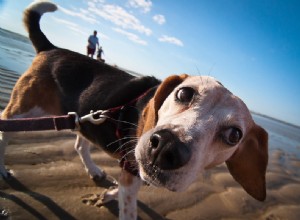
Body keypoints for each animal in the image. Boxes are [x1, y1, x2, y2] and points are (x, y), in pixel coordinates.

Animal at [0, 1, 268, 220]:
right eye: (184, 93)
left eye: (234, 135)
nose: (166, 147)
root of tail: (50, 48)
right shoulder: (131, 172)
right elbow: (128, 207)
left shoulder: (133, 171)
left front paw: (109, 193)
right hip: (24, 110)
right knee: (4, 129)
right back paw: (3, 170)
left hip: (84, 119)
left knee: (79, 144)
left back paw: (94, 170)